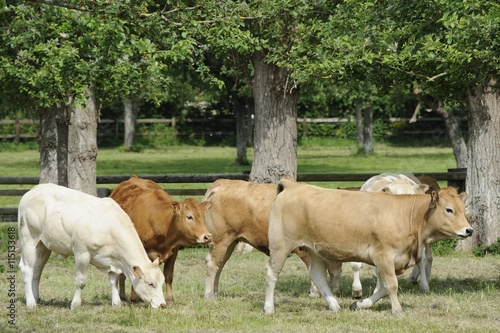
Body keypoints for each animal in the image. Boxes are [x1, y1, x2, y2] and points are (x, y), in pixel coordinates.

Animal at [18, 183, 166, 308]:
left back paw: (36, 298)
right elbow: (81, 281)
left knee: (37, 270)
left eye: (162, 282)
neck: (108, 226)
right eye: (150, 283)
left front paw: (116, 303)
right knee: (26, 268)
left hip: (43, 245)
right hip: (29, 238)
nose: (162, 304)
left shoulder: (113, 259)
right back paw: (31, 303)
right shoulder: (81, 253)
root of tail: (34, 189)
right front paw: (75, 304)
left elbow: (113, 280)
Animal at [108, 176, 212, 304]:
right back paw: (123, 295)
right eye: (189, 216)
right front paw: (134, 298)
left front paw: (170, 299)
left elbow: (168, 275)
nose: (207, 236)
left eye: (203, 216)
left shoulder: (174, 251)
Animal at [264, 178, 474, 312]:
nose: (469, 230)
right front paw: (397, 310)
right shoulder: (384, 256)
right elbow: (391, 285)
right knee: (272, 274)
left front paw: (360, 304)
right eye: (449, 209)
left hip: (315, 250)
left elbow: (382, 288)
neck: (407, 215)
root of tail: (293, 185)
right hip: (280, 246)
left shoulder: (387, 261)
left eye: (463, 209)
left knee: (317, 275)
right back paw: (269, 307)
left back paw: (334, 305)